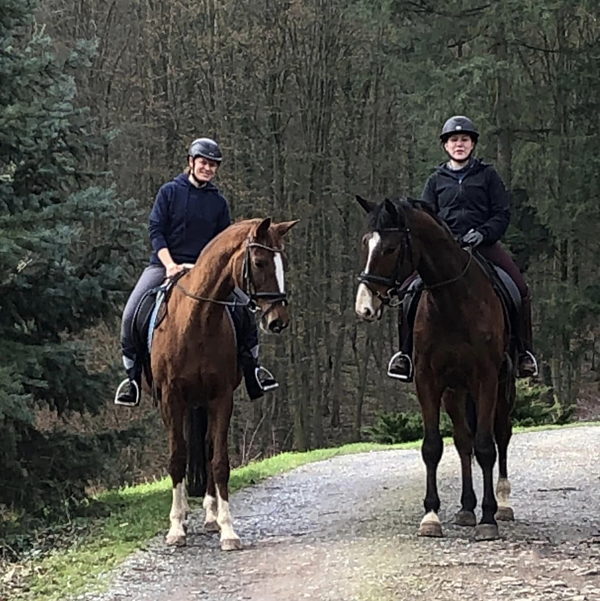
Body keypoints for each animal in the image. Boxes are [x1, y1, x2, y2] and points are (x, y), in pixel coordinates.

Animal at [151, 218, 298, 552]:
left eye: (283, 263)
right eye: (259, 262)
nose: (278, 320)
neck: (197, 321)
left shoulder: (221, 398)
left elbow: (219, 462)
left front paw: (228, 530)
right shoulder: (171, 398)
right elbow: (177, 458)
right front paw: (176, 527)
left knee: (206, 449)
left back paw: (209, 516)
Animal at [356, 196, 516, 540]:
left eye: (390, 248)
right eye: (365, 243)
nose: (364, 307)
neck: (452, 301)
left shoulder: (486, 380)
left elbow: (486, 446)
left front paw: (488, 518)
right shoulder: (428, 381)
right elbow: (433, 447)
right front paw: (431, 516)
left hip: (502, 387)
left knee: (501, 435)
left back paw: (503, 503)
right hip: (455, 393)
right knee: (463, 441)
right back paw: (466, 508)